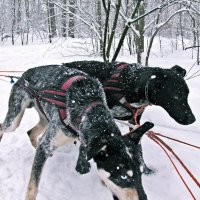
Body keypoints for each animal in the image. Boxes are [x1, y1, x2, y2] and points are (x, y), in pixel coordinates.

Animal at [0, 65, 153, 200]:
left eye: (140, 173)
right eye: (123, 177)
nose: (144, 198)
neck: (88, 105)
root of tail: (25, 74)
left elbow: (83, 149)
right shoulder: (46, 144)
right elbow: (33, 186)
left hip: (45, 121)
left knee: (31, 133)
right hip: (14, 120)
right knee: (3, 126)